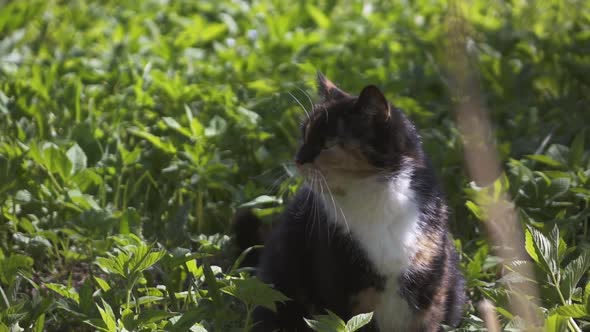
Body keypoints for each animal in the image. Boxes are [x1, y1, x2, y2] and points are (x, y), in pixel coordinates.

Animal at [236, 74, 468, 330]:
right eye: (304, 134)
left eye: (328, 144)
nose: (298, 159)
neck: (375, 201)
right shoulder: (338, 286)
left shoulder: (430, 292)